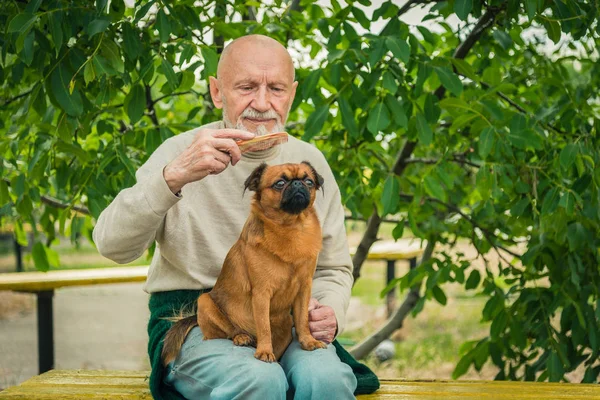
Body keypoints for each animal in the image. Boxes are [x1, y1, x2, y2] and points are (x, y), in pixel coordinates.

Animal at [162, 160, 326, 366]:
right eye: (280, 183)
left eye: (309, 181)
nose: (298, 183)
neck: (291, 226)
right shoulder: (261, 294)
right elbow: (264, 326)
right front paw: (264, 351)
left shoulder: (304, 290)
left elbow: (303, 319)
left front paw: (308, 340)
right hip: (205, 302)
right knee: (228, 331)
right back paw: (241, 337)